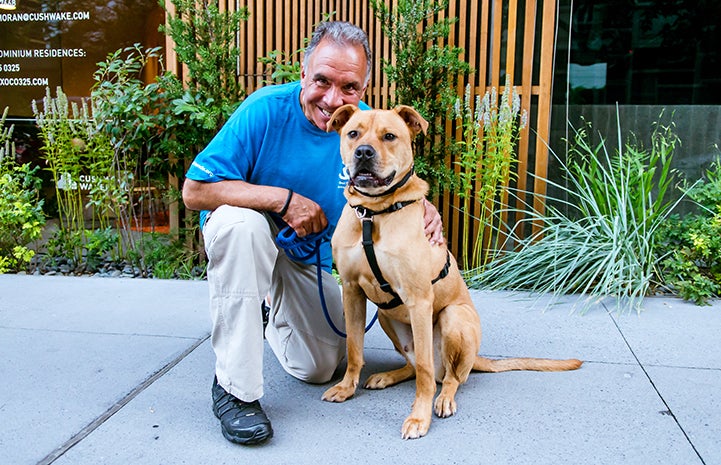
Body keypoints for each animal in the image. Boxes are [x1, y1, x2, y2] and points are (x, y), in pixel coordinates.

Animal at [320, 104, 580, 438]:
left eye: (389, 136)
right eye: (353, 133)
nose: (363, 152)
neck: (374, 214)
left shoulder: (418, 299)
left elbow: (425, 372)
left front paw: (419, 418)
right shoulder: (352, 291)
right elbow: (354, 348)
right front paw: (346, 388)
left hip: (453, 318)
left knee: (447, 376)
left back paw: (443, 399)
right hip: (387, 316)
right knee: (415, 365)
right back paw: (388, 376)